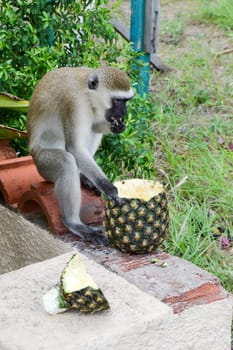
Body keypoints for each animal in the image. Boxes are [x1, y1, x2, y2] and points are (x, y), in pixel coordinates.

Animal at [27, 67, 133, 245]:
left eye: (126, 101)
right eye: (118, 100)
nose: (124, 113)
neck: (87, 93)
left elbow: (95, 127)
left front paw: (117, 126)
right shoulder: (75, 104)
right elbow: (75, 148)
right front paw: (109, 189)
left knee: (92, 132)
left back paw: (83, 177)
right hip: (42, 164)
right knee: (67, 162)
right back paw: (73, 223)